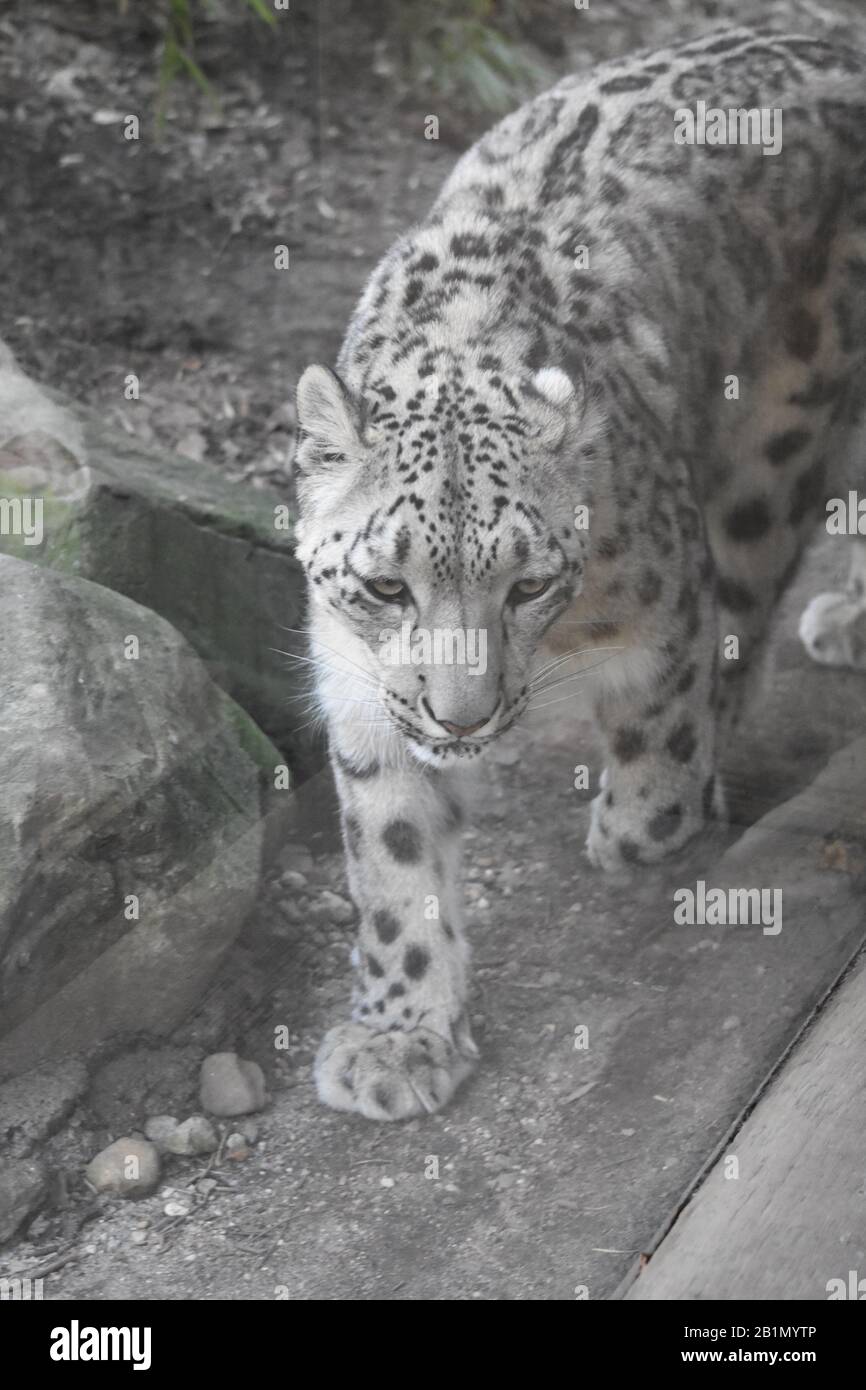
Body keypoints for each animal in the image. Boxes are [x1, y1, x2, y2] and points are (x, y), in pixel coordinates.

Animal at [294, 27, 866, 1123]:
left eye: (525, 585)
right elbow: (391, 854)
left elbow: (658, 765)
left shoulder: (668, 608)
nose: (462, 716)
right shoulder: (356, 682)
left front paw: (635, 823)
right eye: (385, 586)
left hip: (770, 455)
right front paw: (399, 1038)